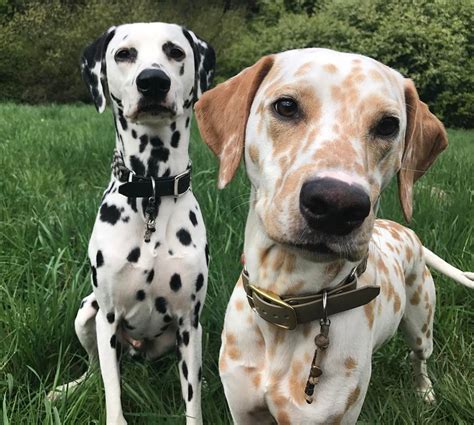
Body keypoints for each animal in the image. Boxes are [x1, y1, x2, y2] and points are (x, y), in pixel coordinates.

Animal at [48, 23, 215, 424]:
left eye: (175, 51)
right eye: (124, 54)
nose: (152, 81)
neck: (150, 190)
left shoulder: (189, 322)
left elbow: (192, 402)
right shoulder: (107, 317)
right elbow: (112, 390)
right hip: (87, 312)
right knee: (95, 369)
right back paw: (68, 390)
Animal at [194, 49, 472, 424]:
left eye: (388, 125)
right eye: (286, 106)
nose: (337, 204)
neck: (288, 300)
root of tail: (407, 231)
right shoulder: (244, 410)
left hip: (420, 320)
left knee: (420, 358)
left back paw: (424, 391)